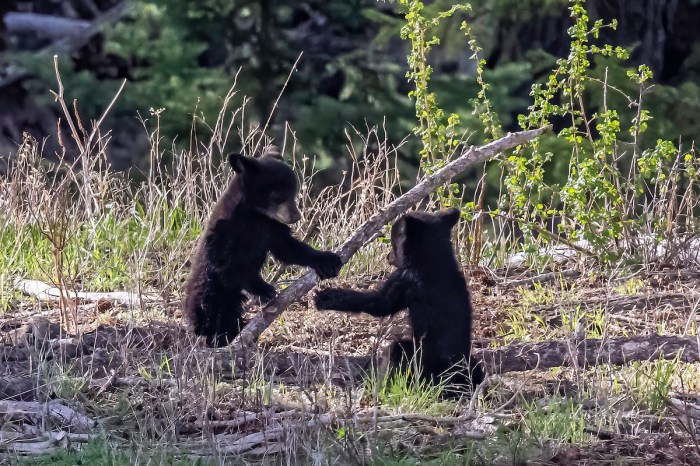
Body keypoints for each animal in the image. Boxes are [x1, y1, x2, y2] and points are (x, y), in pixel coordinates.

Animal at [185, 147, 343, 347]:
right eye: (278, 196)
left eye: (293, 193)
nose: (296, 216)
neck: (255, 215)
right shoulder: (226, 231)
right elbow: (229, 263)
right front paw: (264, 289)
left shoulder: (272, 227)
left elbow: (287, 248)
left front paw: (327, 260)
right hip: (210, 288)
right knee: (209, 311)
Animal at [314, 208, 484, 396]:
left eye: (394, 240)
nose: (388, 256)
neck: (434, 259)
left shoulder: (405, 279)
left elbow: (379, 303)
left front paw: (327, 297)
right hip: (468, 362)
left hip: (418, 355)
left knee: (396, 351)